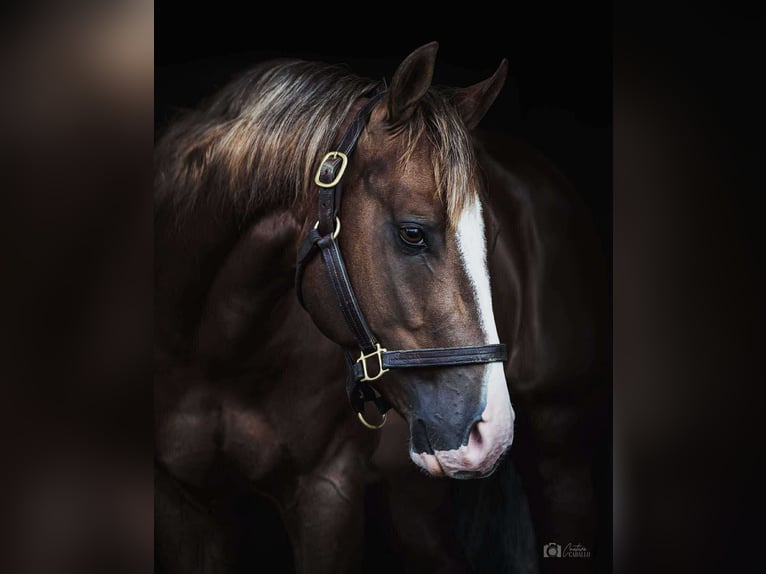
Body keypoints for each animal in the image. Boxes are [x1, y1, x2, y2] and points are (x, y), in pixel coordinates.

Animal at [154, 42, 609, 573]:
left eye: (492, 236)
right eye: (412, 233)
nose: (489, 432)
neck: (222, 357)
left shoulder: (328, 494)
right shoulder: (185, 502)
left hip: (562, 457)